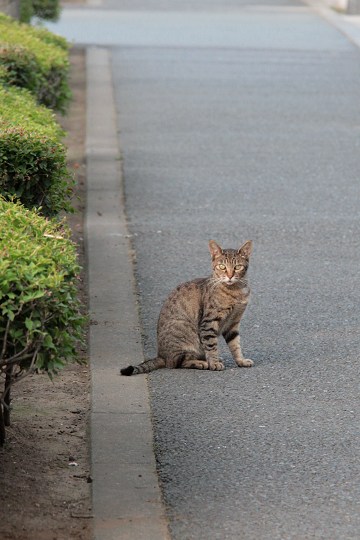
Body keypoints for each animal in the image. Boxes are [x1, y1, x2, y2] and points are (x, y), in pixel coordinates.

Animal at [120, 240, 253, 376]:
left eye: (237, 267)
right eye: (222, 267)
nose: (230, 276)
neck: (236, 291)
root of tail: (161, 356)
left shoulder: (233, 323)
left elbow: (235, 344)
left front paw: (241, 360)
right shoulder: (208, 323)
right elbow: (211, 346)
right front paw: (214, 363)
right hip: (186, 337)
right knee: (178, 363)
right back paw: (203, 363)